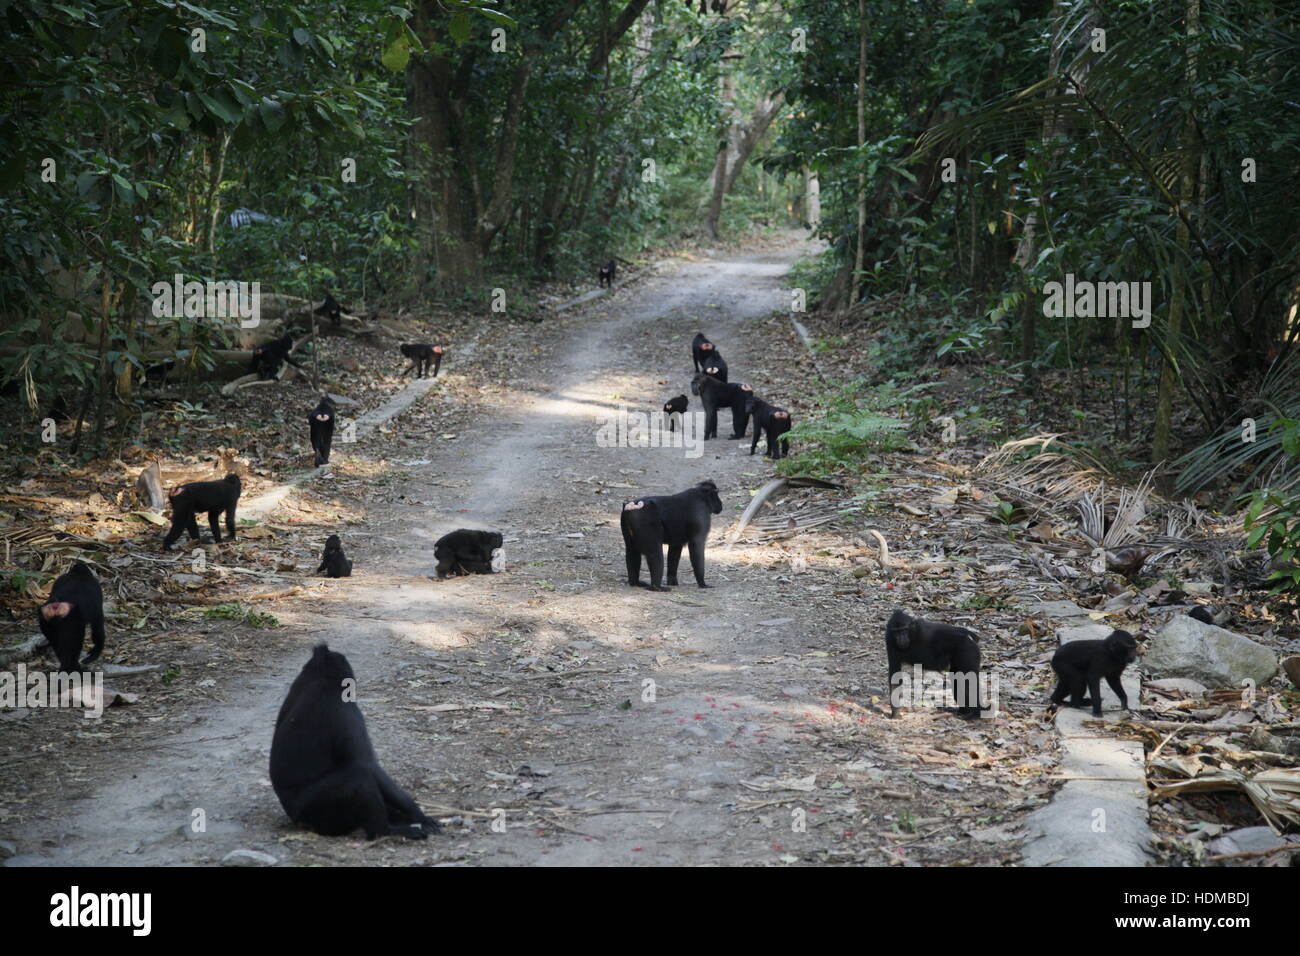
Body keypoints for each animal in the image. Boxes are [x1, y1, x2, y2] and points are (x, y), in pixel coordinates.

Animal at [269, 644, 440, 840]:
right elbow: (368, 764)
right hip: (316, 809)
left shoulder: (299, 684)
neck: (322, 680)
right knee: (359, 773)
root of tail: (296, 819)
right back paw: (389, 831)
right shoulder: (346, 711)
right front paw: (417, 813)